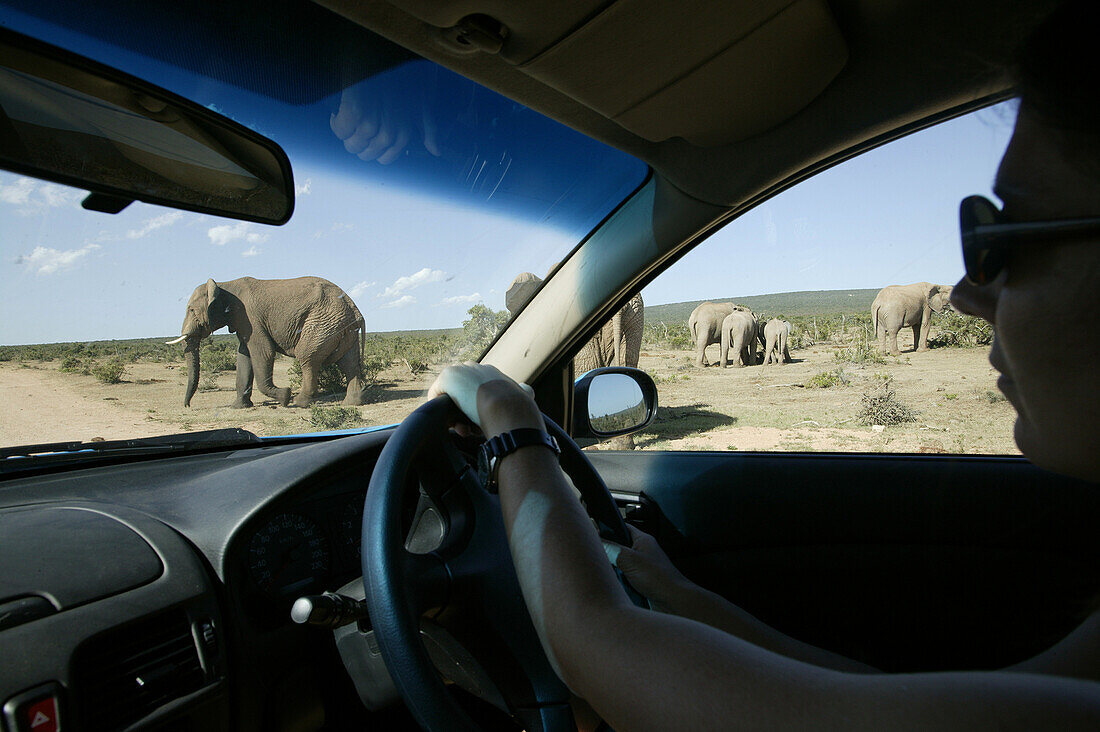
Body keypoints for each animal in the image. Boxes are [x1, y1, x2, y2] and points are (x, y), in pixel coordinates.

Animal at [167, 277, 365, 407]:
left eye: (191, 310)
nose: (187, 406)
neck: (223, 285)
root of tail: (355, 310)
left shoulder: (249, 318)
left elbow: (263, 353)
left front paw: (284, 397)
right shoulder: (242, 322)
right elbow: (243, 357)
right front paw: (238, 407)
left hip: (321, 324)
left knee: (307, 360)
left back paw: (298, 402)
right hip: (343, 327)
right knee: (349, 363)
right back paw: (351, 404)